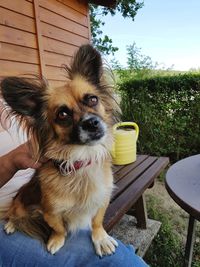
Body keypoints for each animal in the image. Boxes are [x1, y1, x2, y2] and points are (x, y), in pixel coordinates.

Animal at [0, 44, 119, 258]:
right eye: (62, 114)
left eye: (92, 99)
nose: (92, 123)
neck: (81, 160)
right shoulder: (50, 212)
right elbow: (59, 228)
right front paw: (56, 240)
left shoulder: (102, 200)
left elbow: (97, 221)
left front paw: (101, 238)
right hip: (19, 203)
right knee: (13, 215)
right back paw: (12, 224)